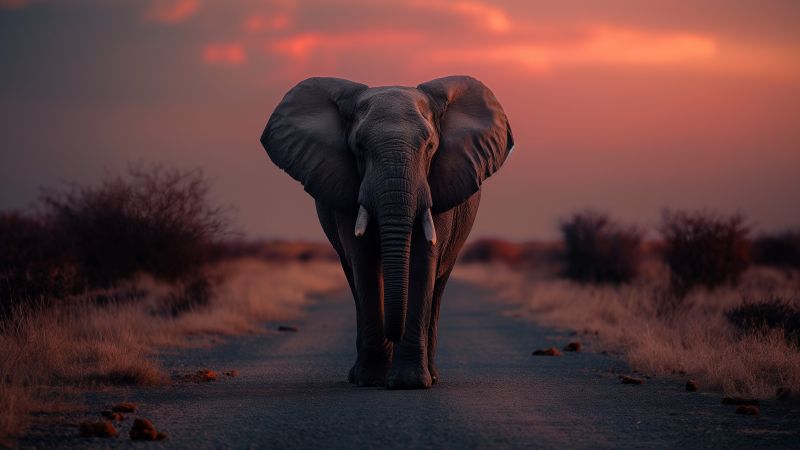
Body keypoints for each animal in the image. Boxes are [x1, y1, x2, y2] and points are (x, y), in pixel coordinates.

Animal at [260, 75, 514, 389]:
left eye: (430, 146)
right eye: (359, 147)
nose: (394, 332)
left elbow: (422, 261)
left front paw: (409, 382)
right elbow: (365, 263)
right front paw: (373, 379)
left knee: (438, 284)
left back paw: (432, 375)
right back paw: (360, 375)